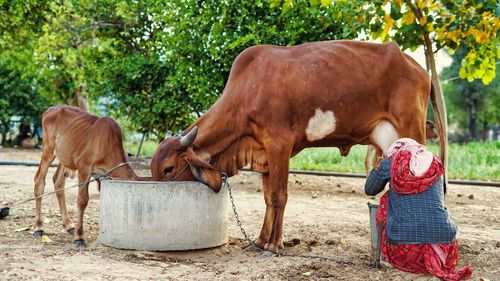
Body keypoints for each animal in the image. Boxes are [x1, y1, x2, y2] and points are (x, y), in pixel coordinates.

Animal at [34, 104, 141, 245]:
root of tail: (51, 109)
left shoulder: (100, 177)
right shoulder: (84, 168)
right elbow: (82, 200)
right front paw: (79, 236)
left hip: (65, 156)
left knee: (58, 181)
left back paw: (68, 225)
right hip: (48, 149)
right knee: (39, 180)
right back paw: (38, 227)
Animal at [151, 40, 446, 253]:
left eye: (168, 169)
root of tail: (418, 68)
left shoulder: (279, 146)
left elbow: (279, 196)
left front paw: (273, 245)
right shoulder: (263, 155)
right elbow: (268, 198)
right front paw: (261, 240)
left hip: (412, 129)